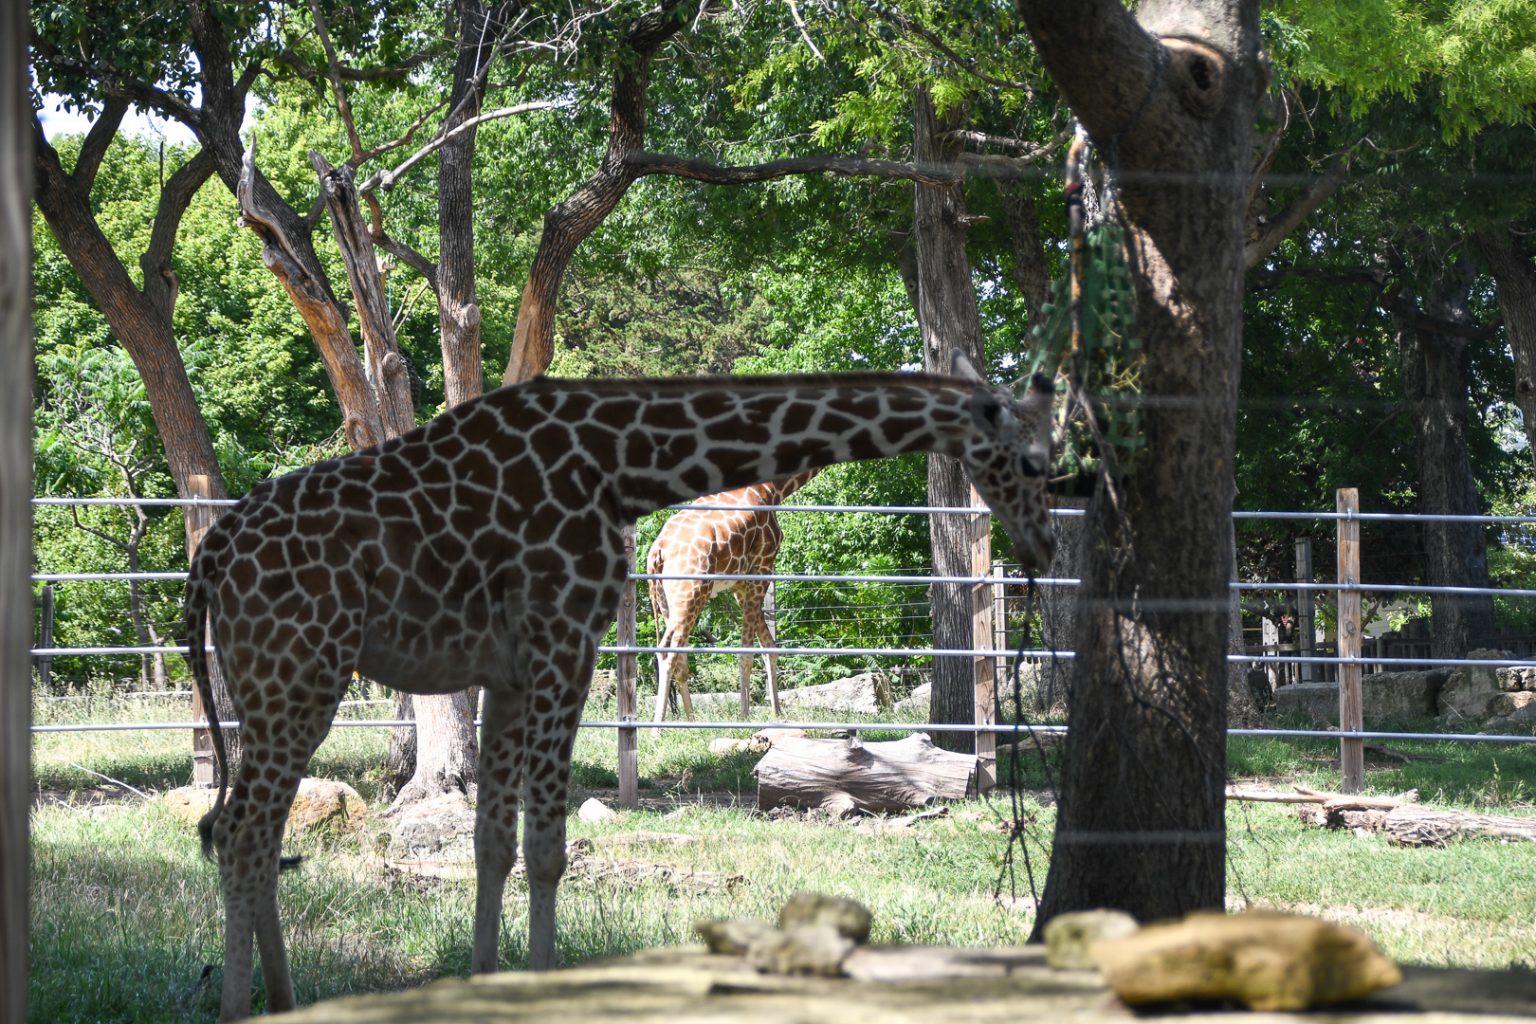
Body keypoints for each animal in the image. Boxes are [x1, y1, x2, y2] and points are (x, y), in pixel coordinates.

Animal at [645, 469, 823, 724]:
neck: (771, 490)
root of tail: (657, 552)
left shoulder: (740, 586)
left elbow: (769, 645)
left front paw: (777, 713)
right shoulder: (761, 569)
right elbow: (747, 653)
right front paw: (745, 716)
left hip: (666, 600)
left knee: (680, 655)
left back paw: (691, 720)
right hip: (690, 594)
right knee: (668, 651)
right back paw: (658, 727)